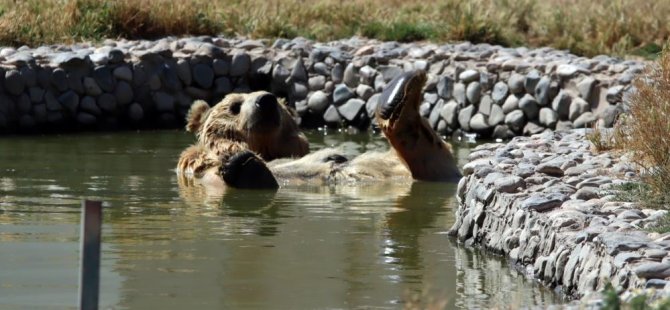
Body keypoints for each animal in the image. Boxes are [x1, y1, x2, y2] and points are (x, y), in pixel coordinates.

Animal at [177, 70, 462, 190]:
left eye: (279, 103)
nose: (265, 100)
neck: (265, 149)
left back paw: (400, 91)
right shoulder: (201, 170)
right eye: (235, 106)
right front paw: (243, 163)